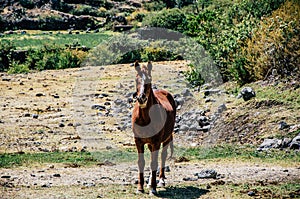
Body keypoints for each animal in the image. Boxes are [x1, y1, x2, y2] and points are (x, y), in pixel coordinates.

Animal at [131, 60, 176, 196]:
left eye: (149, 79)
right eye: (137, 79)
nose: (141, 98)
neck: (145, 118)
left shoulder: (156, 141)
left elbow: (154, 162)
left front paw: (153, 189)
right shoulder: (138, 142)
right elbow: (141, 163)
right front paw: (140, 188)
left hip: (165, 139)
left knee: (162, 156)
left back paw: (160, 180)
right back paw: (150, 182)